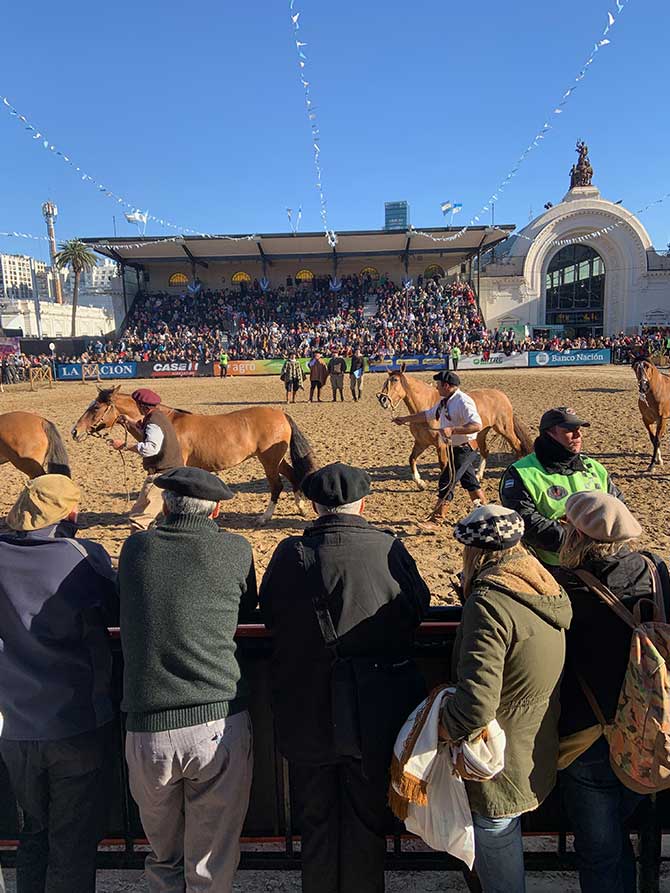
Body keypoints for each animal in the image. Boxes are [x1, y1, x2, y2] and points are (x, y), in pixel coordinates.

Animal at [72, 384, 318, 524]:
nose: (75, 431)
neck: (169, 422)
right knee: (292, 476)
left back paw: (264, 518)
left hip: (268, 460)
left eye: (95, 407)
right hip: (275, 459)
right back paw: (301, 509)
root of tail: (281, 413)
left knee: (277, 485)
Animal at [380, 366, 532, 488]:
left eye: (395, 380)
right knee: (485, 451)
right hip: (481, 433)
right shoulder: (421, 443)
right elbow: (411, 459)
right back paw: (478, 475)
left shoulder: (441, 445)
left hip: (504, 429)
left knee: (517, 445)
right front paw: (420, 483)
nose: (382, 399)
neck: (426, 406)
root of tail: (502, 395)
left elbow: (443, 465)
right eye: (386, 380)